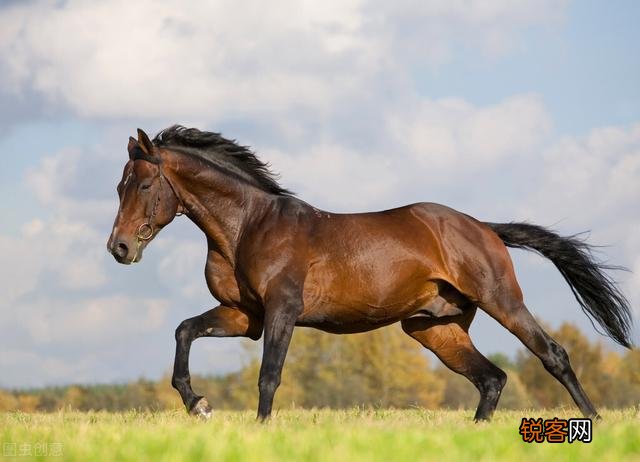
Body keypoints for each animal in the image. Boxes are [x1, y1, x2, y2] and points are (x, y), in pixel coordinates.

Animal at [107, 125, 633, 422]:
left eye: (145, 184)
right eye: (118, 186)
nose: (119, 247)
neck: (248, 226)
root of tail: (484, 228)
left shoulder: (281, 310)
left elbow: (269, 376)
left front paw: (256, 428)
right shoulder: (244, 316)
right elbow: (184, 331)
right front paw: (198, 404)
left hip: (501, 300)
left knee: (552, 355)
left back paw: (595, 422)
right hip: (433, 328)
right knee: (491, 379)